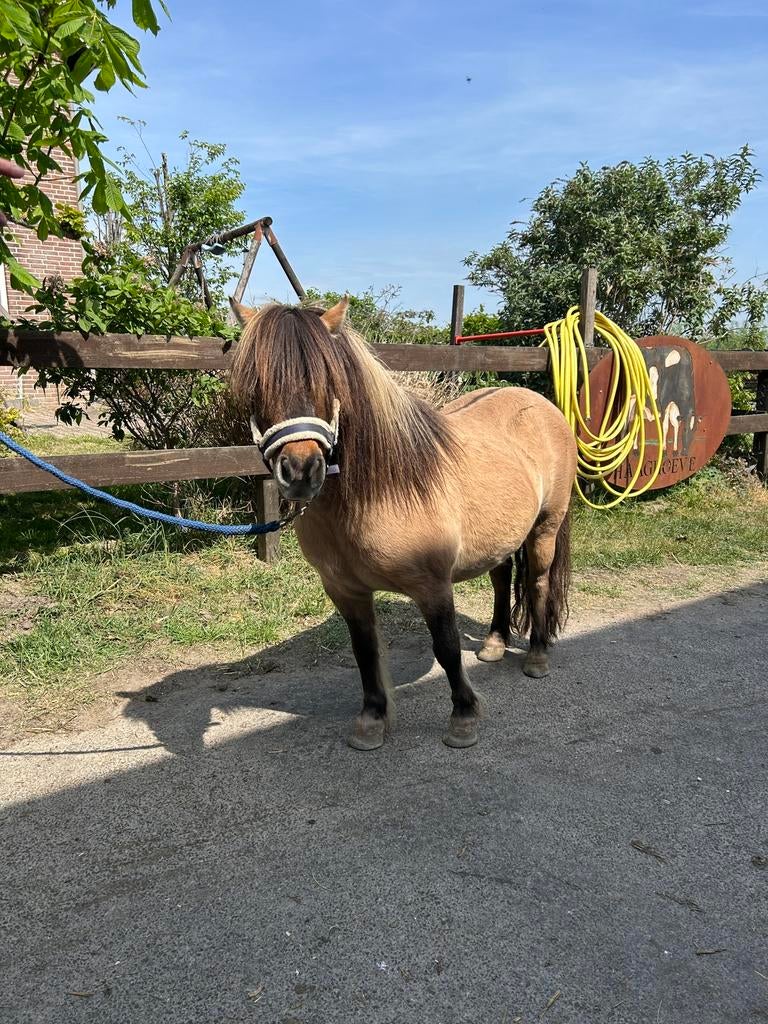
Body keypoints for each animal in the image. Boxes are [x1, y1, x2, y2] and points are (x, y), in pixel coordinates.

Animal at [229, 296, 577, 751]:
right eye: (255, 384)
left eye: (329, 380)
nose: (301, 472)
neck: (376, 494)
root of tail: (537, 401)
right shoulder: (346, 591)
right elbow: (365, 652)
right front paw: (372, 720)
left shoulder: (433, 586)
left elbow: (446, 647)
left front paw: (463, 718)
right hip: (500, 536)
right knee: (502, 580)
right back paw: (495, 643)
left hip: (545, 529)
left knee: (537, 583)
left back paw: (536, 656)